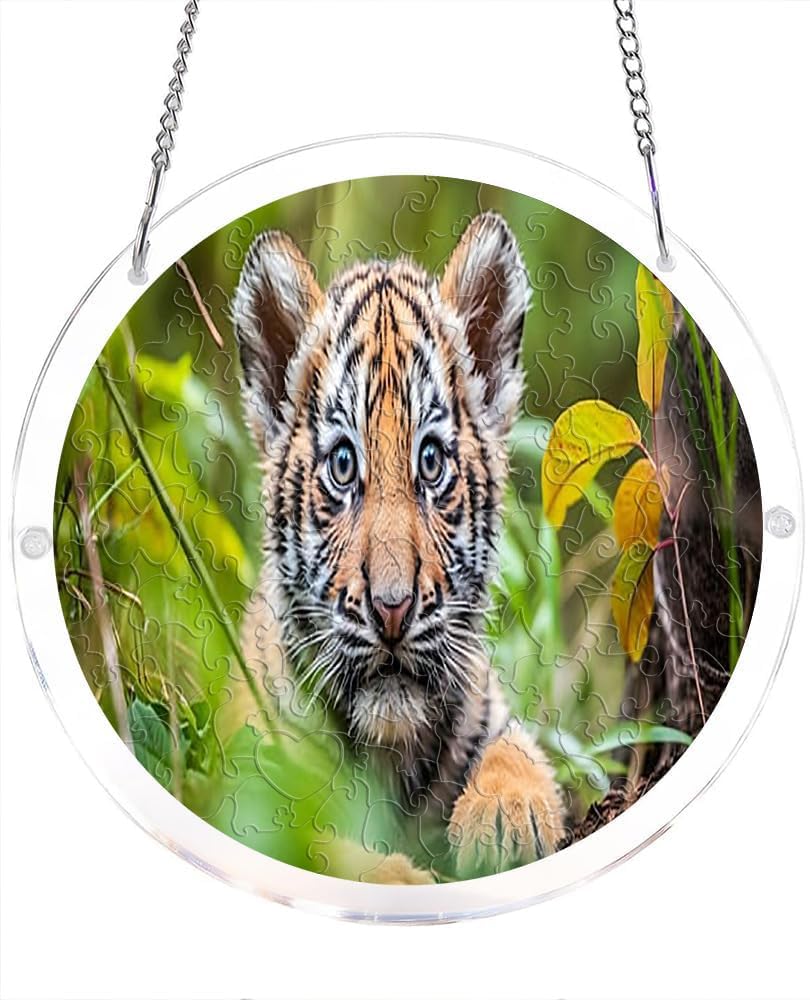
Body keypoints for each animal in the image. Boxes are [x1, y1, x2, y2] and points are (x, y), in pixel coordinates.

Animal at [231, 210, 565, 882]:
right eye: (342, 465)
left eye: (430, 462)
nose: (391, 608)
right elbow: (322, 847)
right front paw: (406, 876)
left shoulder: (490, 707)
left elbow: (518, 750)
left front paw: (508, 816)